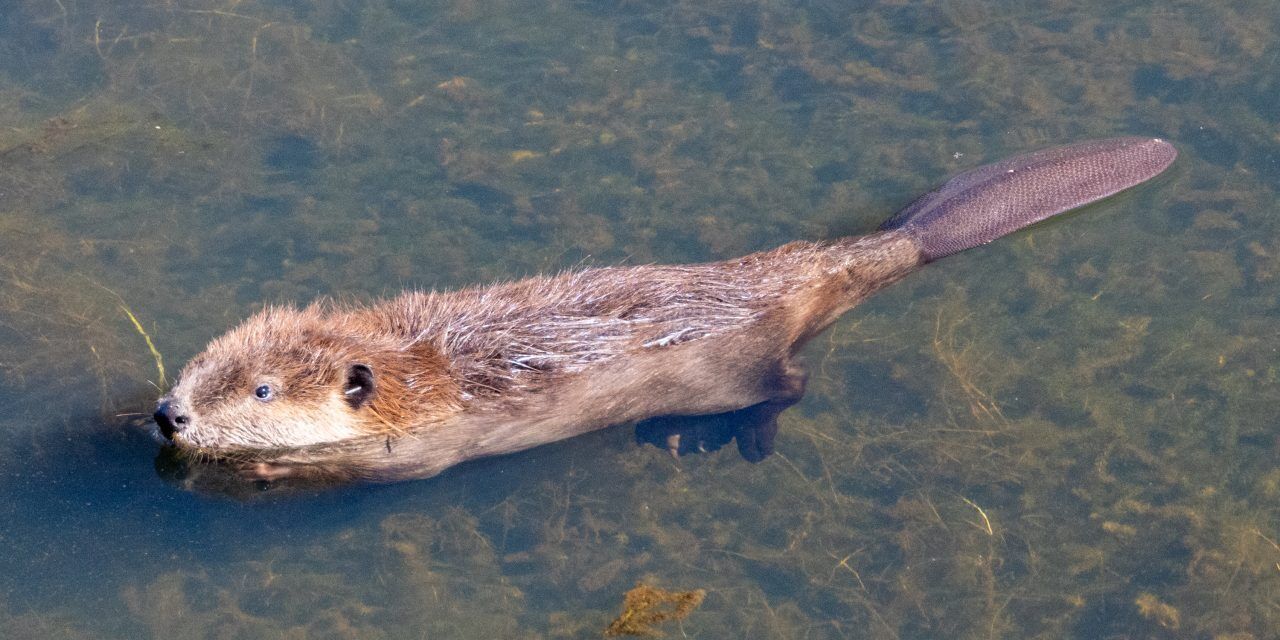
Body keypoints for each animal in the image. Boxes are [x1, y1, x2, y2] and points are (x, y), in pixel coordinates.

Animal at [154, 136, 1172, 483]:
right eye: (205, 363)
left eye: (262, 392)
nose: (169, 413)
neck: (418, 364)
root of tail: (902, 239)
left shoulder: (431, 438)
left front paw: (270, 469)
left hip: (730, 372)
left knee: (790, 382)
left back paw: (724, 438)